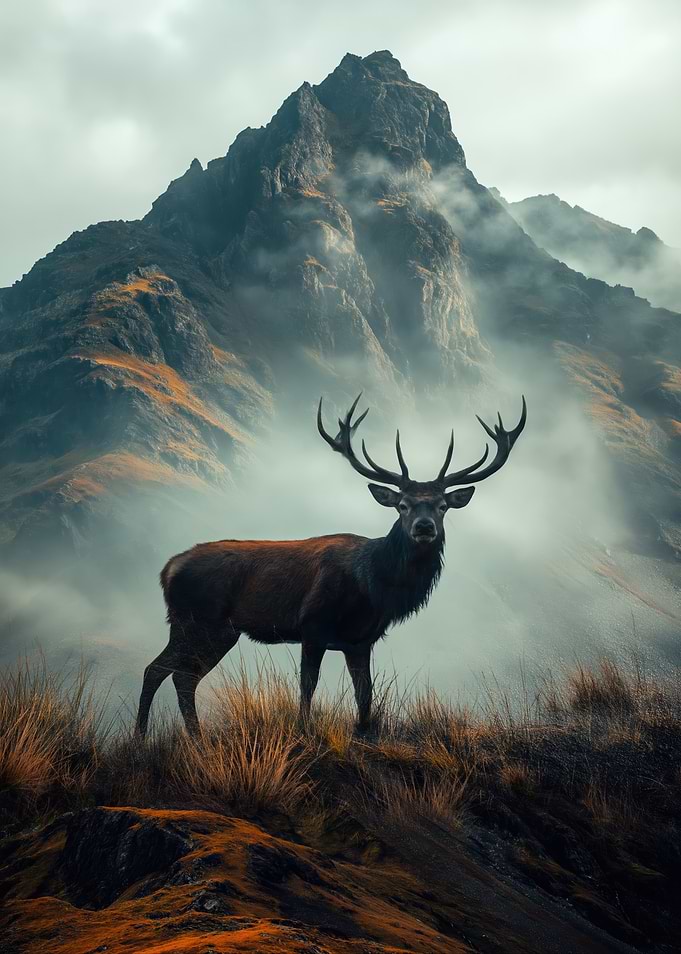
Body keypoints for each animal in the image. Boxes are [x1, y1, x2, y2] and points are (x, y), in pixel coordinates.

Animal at [135, 394, 527, 739]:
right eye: (402, 505)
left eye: (442, 506)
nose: (424, 527)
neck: (374, 585)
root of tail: (168, 569)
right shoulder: (312, 623)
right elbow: (308, 686)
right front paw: (304, 731)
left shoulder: (361, 639)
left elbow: (365, 693)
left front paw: (364, 733)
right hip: (198, 621)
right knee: (163, 671)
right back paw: (144, 738)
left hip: (211, 629)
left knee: (180, 675)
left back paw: (190, 738)